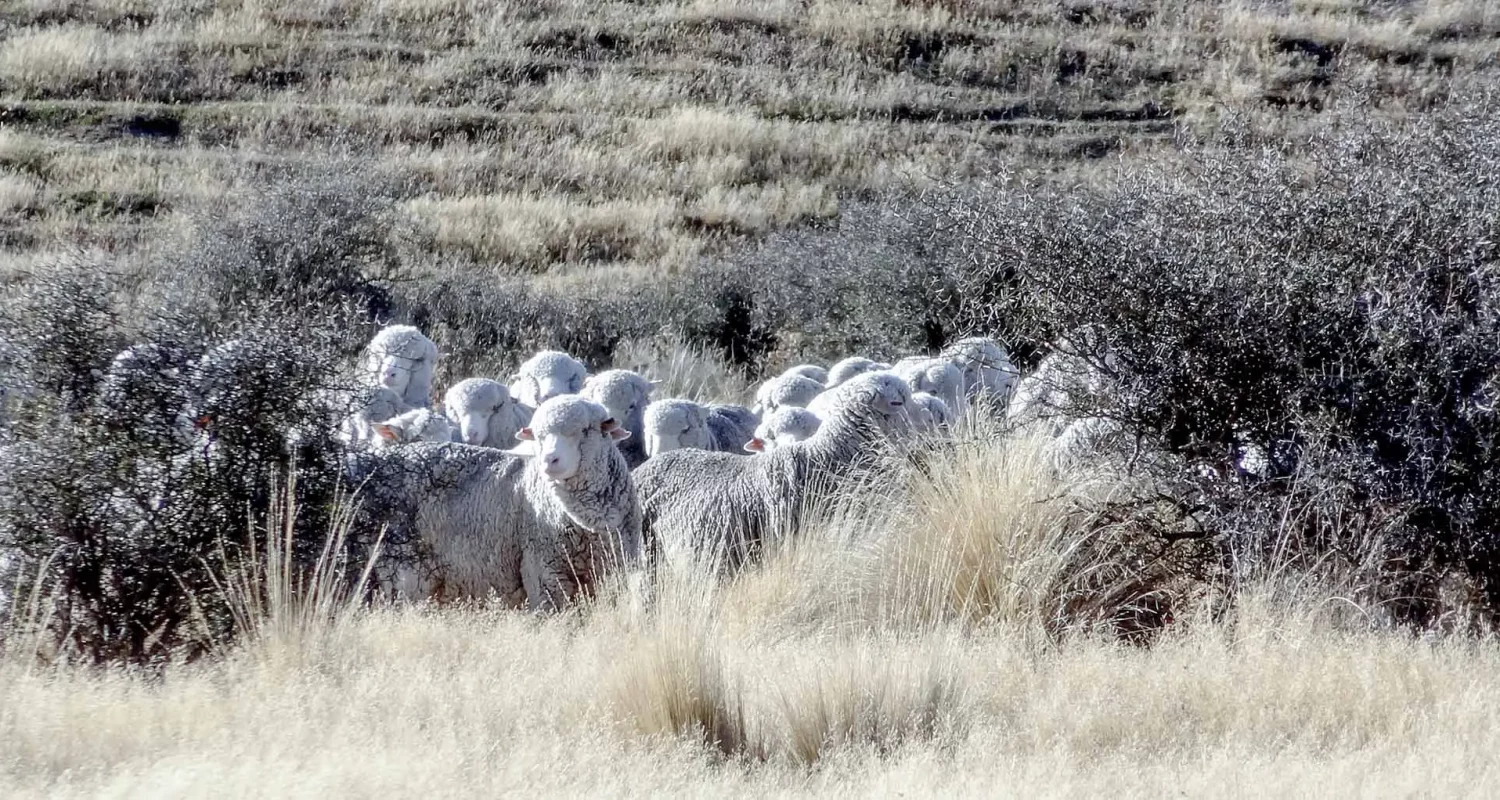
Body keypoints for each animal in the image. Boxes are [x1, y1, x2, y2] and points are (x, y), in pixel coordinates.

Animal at [354, 395, 641, 609]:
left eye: (584, 430)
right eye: (538, 437)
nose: (549, 460)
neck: (587, 524)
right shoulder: (544, 572)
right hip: (404, 571)